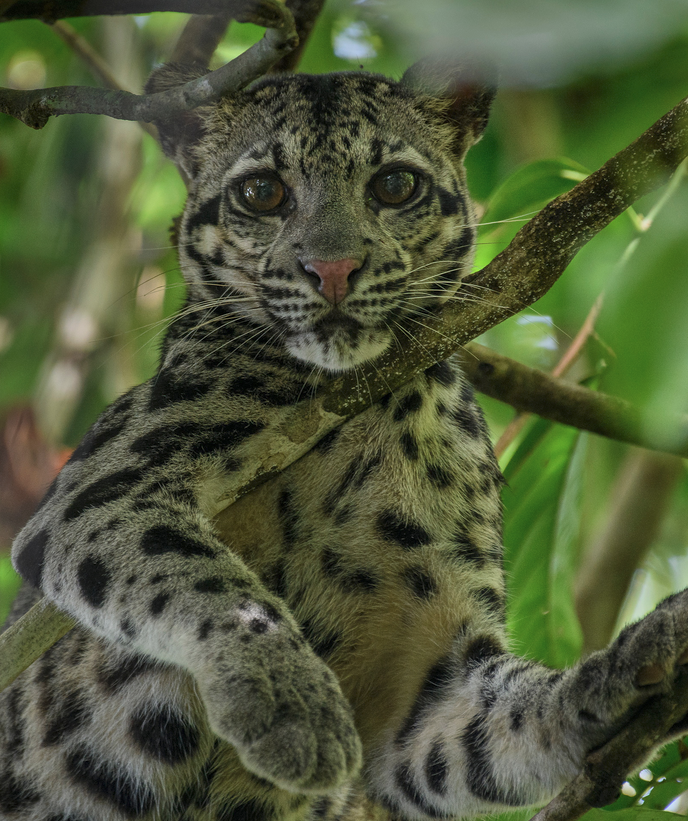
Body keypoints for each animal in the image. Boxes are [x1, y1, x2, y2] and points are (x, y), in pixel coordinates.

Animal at [2, 54, 688, 821]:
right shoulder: (101, 488)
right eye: (262, 193)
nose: (331, 269)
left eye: (394, 184)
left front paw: (625, 668)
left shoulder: (426, 675)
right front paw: (293, 708)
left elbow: (509, 716)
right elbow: (202, 575)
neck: (365, 412)